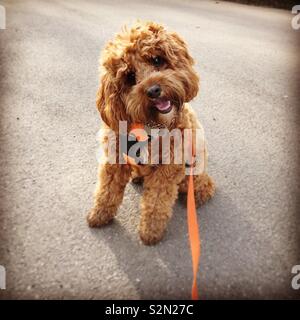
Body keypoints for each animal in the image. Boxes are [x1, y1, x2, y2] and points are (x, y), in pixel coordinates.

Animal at [86, 20, 216, 245]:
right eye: (129, 76)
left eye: (157, 59)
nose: (154, 90)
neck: (149, 126)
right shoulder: (114, 159)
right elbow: (106, 191)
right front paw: (99, 215)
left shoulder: (168, 169)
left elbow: (156, 203)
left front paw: (150, 232)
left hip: (192, 173)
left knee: (203, 186)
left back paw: (198, 196)